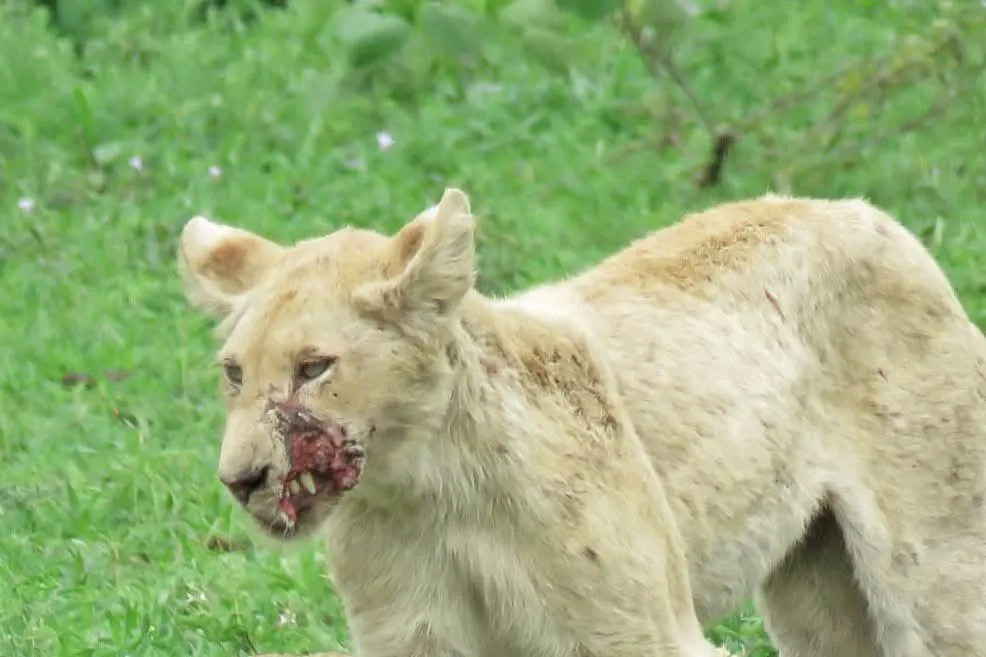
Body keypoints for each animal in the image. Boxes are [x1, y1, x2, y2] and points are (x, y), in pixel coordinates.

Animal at [177, 188, 986, 657]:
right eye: (235, 374)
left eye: (315, 367)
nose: (240, 478)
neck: (430, 490)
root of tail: (858, 208)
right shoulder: (414, 635)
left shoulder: (639, 633)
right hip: (817, 589)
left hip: (938, 568)